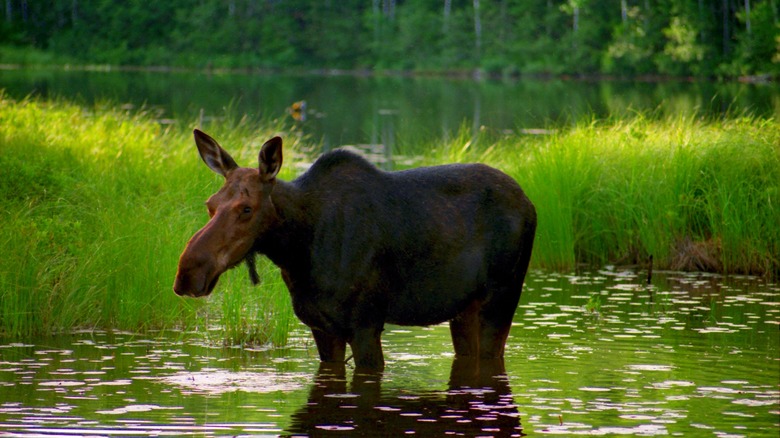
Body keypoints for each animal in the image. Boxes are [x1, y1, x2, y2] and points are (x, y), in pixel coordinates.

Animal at [172, 130, 536, 370]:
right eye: (210, 204)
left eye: (246, 208)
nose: (188, 272)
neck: (297, 251)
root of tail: (530, 204)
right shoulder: (321, 327)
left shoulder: (366, 323)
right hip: (463, 311)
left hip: (501, 298)